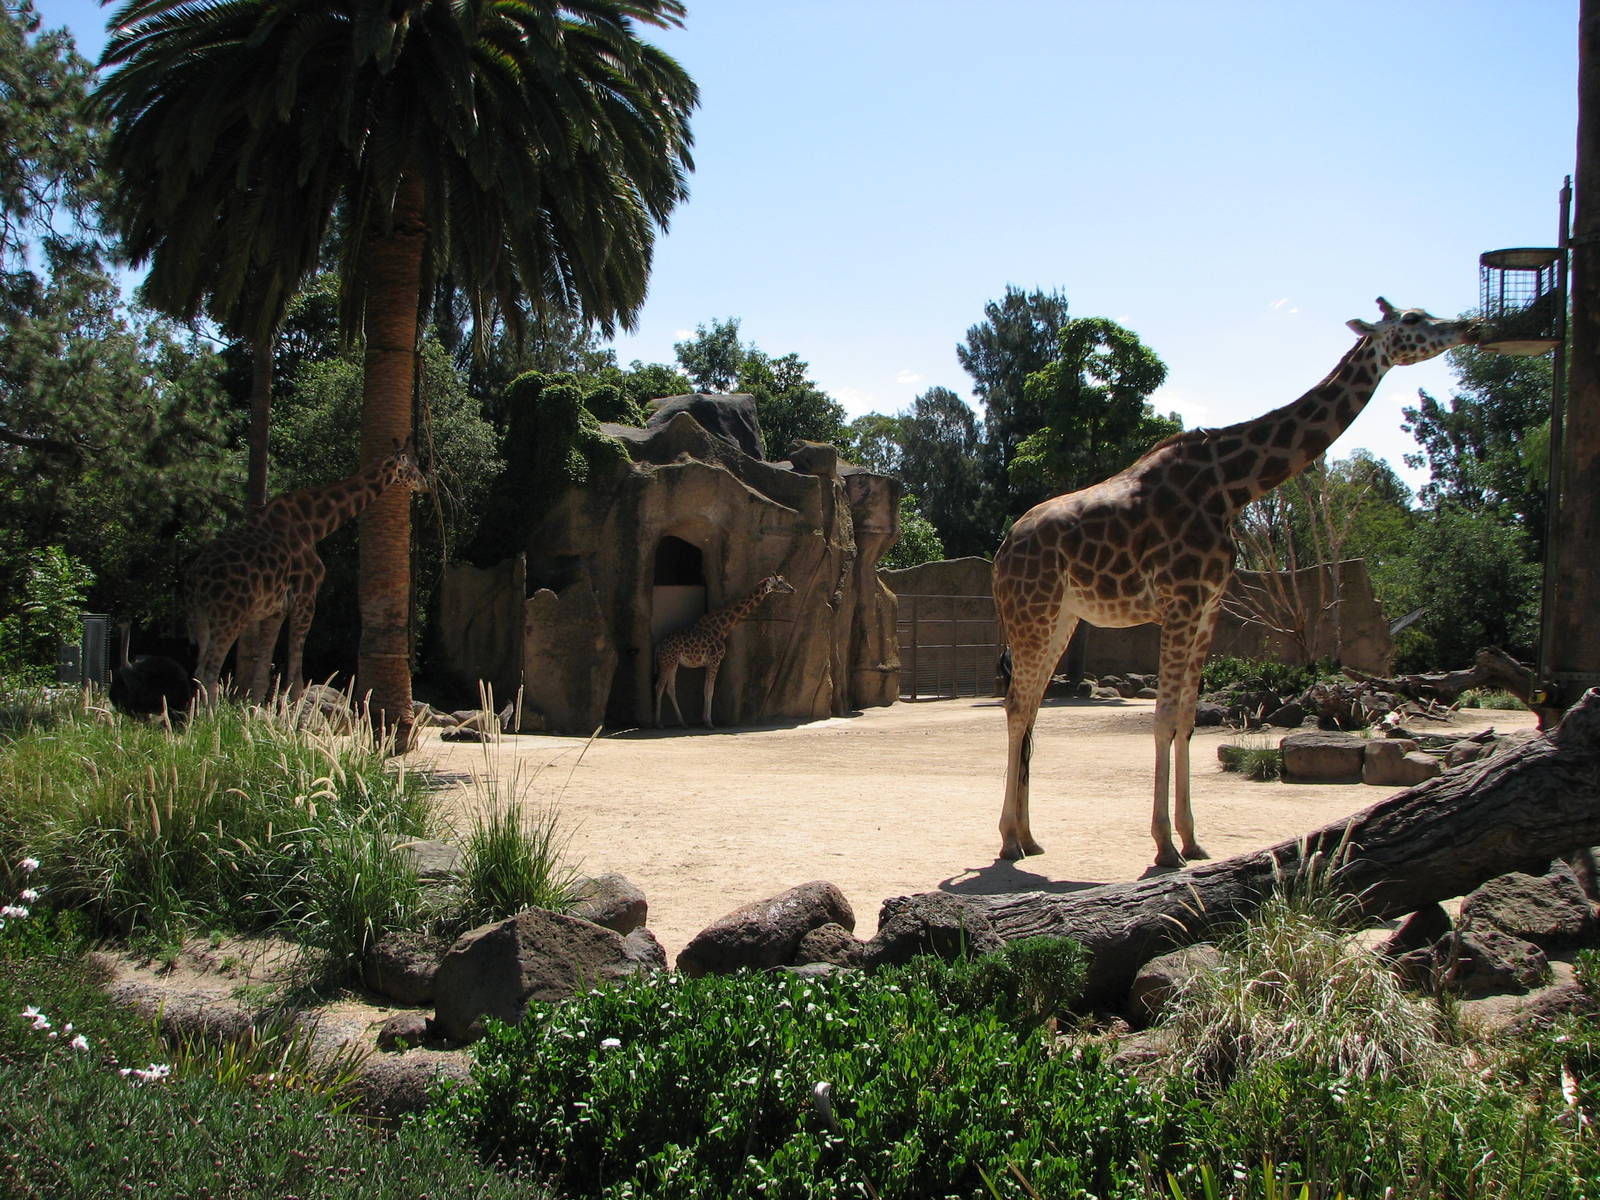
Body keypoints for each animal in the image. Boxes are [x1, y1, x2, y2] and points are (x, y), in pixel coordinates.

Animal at [187, 442, 427, 704]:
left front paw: (255, 710)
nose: (426, 483)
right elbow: (296, 677)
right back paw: (211, 714)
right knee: (209, 672)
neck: (315, 526)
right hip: (231, 615)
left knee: (199, 671)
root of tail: (197, 576)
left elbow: (262, 673)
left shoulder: (276, 609)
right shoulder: (306, 598)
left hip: (201, 616)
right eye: (414, 464)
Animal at [654, 574, 796, 728]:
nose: (793, 589)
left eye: (785, 580)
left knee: (670, 688)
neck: (723, 628)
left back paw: (682, 722)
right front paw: (709, 722)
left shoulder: (709, 663)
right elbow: (710, 690)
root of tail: (658, 647)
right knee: (659, 686)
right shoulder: (715, 660)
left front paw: (705, 720)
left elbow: (706, 689)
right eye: (780, 582)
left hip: (673, 663)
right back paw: (658, 723)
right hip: (667, 662)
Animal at [993, 299, 1481, 867]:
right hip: (1033, 612)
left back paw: (1029, 838)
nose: (1467, 326)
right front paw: (1164, 847)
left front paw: (1192, 839)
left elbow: (1186, 718)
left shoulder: (1209, 606)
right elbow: (1163, 718)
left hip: (1063, 617)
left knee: (1031, 708)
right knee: (1017, 705)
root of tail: (1002, 552)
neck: (1233, 486)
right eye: (1412, 319)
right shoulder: (1180, 601)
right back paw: (1008, 840)